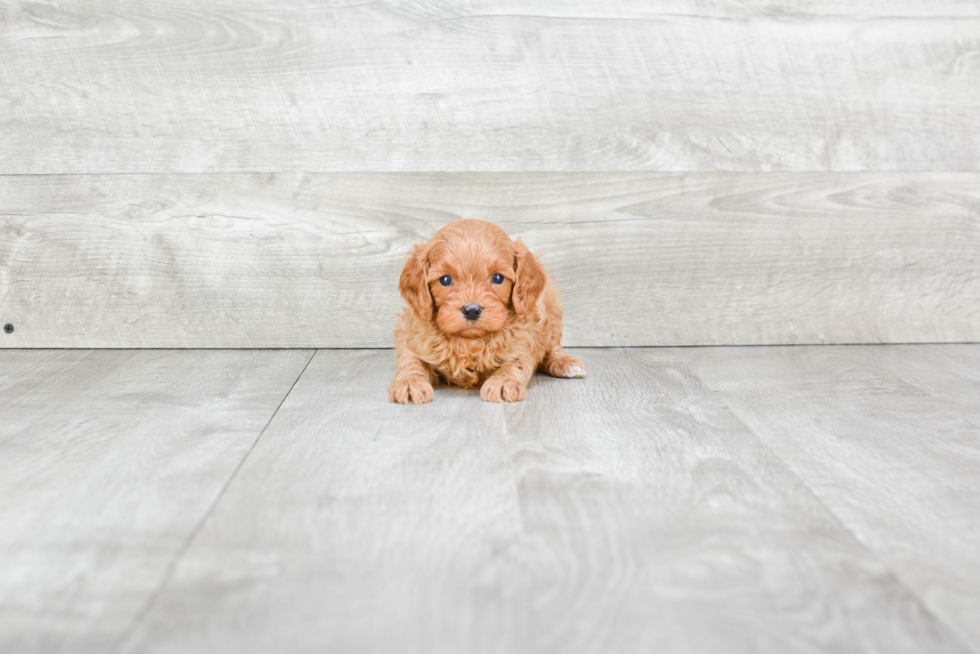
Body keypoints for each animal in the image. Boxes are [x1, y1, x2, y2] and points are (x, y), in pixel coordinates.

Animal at [388, 220, 584, 404]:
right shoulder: (412, 340)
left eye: (497, 278)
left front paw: (503, 383)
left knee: (553, 347)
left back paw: (566, 364)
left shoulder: (523, 343)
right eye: (445, 280)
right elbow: (410, 362)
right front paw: (408, 384)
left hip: (552, 306)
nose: (471, 310)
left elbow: (515, 364)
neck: (470, 341)